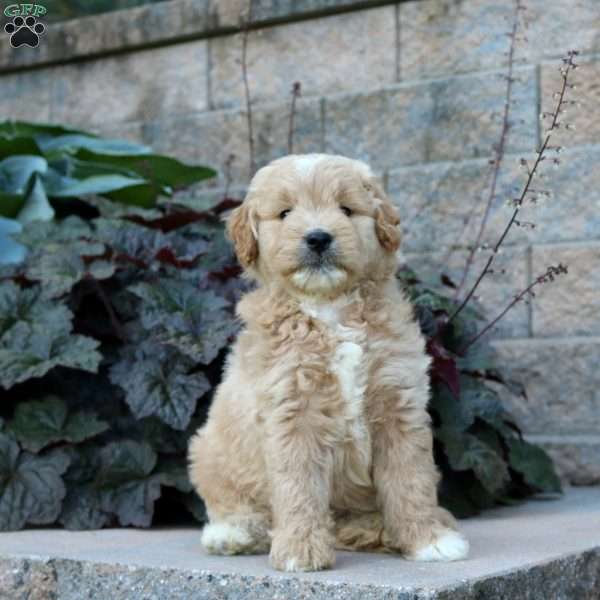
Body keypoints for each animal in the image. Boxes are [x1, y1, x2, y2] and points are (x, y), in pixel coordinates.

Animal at [188, 154, 468, 572]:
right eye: (285, 213)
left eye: (346, 209)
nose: (318, 237)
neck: (330, 308)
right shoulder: (291, 410)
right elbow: (298, 486)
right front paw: (300, 551)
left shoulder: (398, 402)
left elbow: (411, 479)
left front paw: (428, 540)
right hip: (209, 452)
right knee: (235, 506)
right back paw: (232, 534)